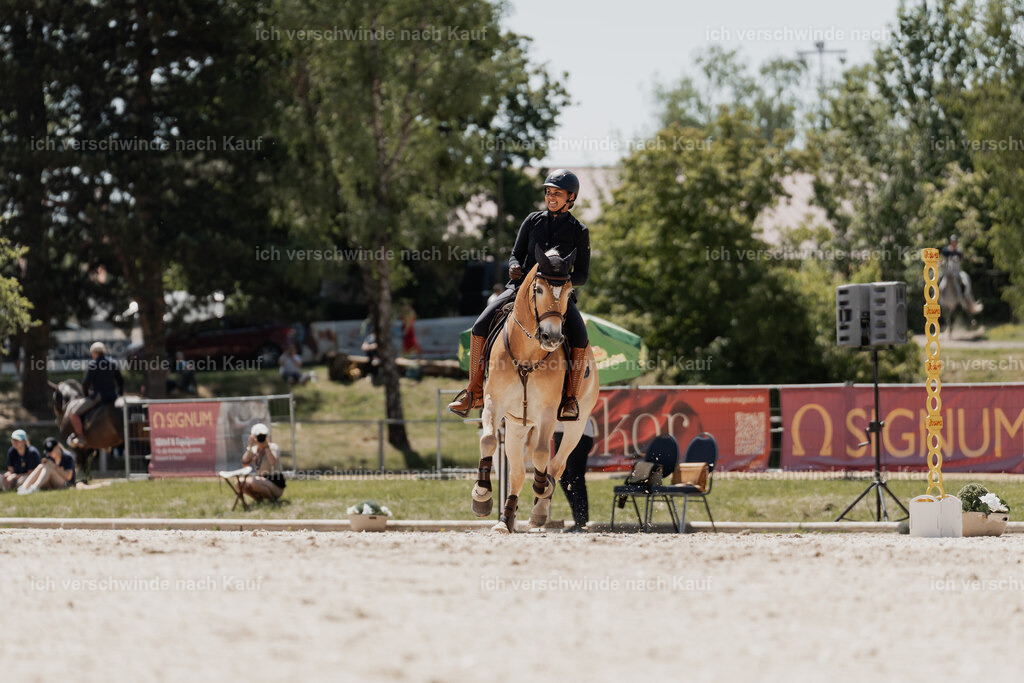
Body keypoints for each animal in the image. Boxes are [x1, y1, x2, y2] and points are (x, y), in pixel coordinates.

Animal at [472, 245, 600, 533]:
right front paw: (482, 494)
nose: (551, 337)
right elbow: (488, 440)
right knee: (517, 473)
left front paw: (542, 489)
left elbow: (542, 455)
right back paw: (505, 520)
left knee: (557, 464)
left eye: (569, 292)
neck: (528, 353)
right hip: (517, 425)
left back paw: (539, 509)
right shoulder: (494, 402)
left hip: (576, 425)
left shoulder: (547, 412)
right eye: (539, 289)